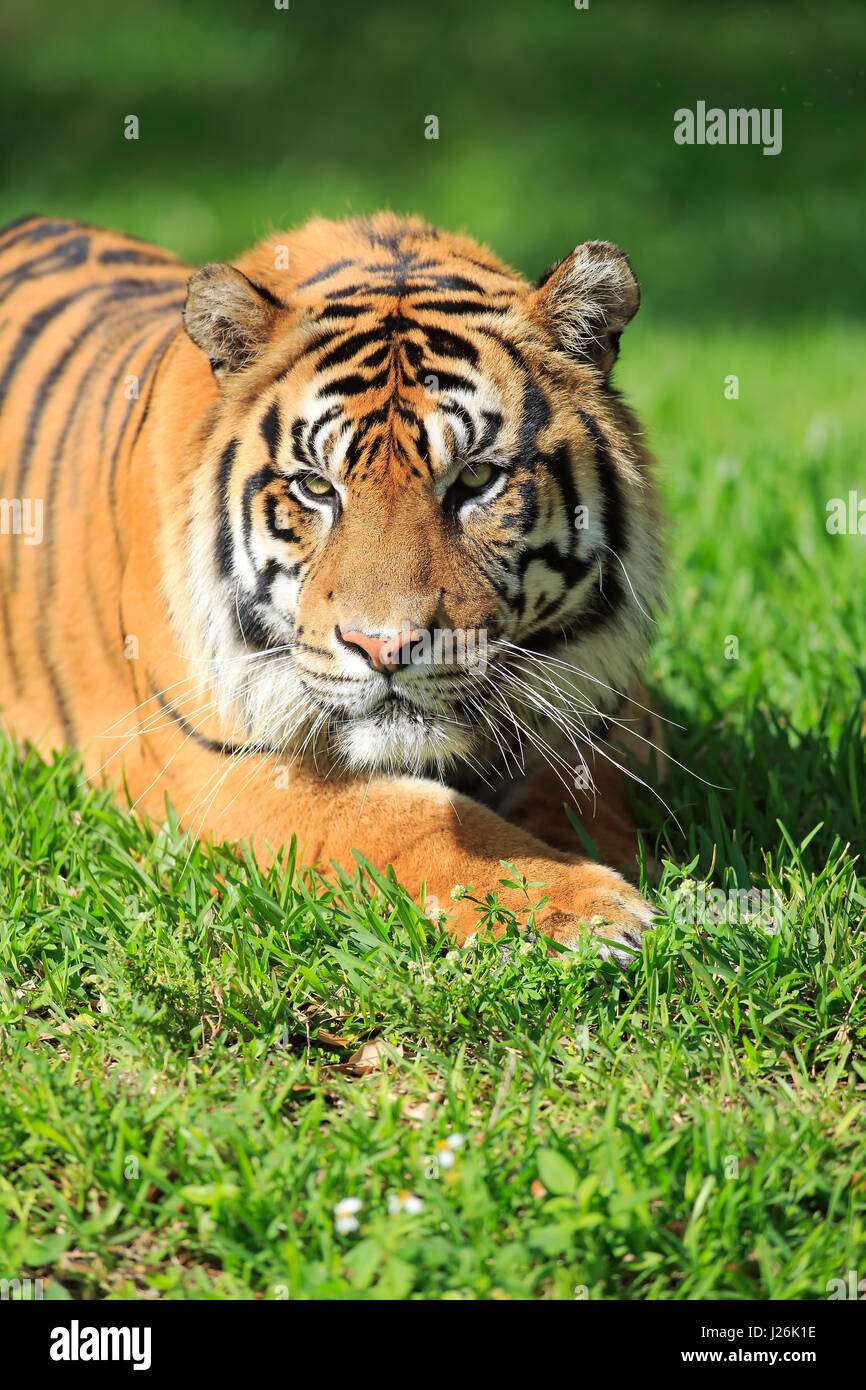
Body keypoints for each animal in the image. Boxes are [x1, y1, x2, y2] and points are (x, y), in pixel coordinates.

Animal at [0, 211, 667, 961]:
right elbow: (411, 818)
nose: (386, 648)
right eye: (317, 488)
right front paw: (585, 905)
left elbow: (583, 791)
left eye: (475, 478)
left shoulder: (609, 709)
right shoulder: (223, 763)